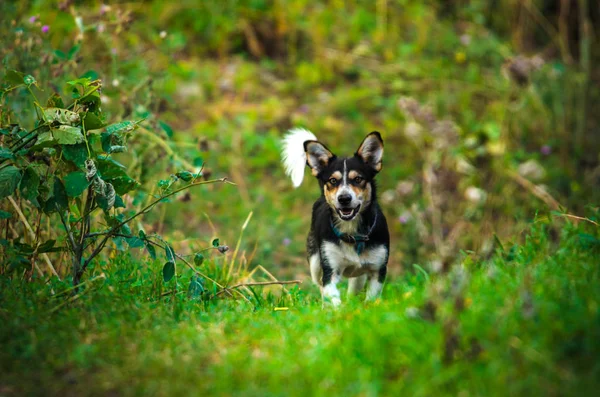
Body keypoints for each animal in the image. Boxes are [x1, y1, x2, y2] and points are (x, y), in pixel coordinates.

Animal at [282, 128, 390, 304]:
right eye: (332, 180)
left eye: (358, 179)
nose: (344, 198)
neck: (351, 231)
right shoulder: (329, 271)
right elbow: (333, 298)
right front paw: (337, 309)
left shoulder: (377, 270)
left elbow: (371, 300)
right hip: (315, 262)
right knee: (319, 284)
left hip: (358, 275)